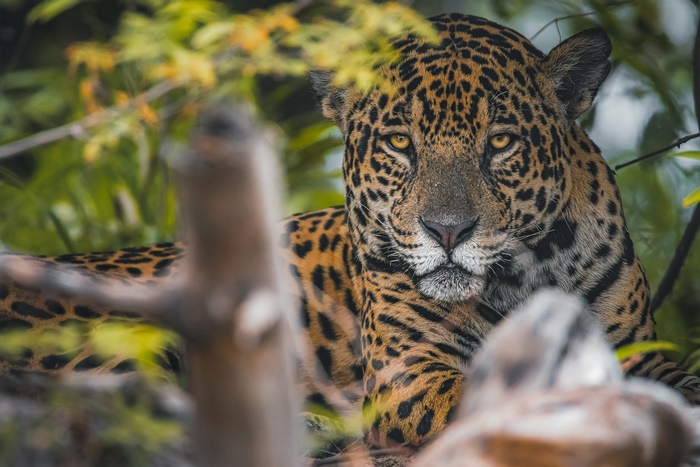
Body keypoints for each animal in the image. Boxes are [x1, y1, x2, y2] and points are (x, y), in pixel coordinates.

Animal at [1, 13, 699, 450]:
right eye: (399, 143)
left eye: (500, 143)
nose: (448, 231)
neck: (520, 280)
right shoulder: (410, 375)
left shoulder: (641, 347)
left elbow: (674, 377)